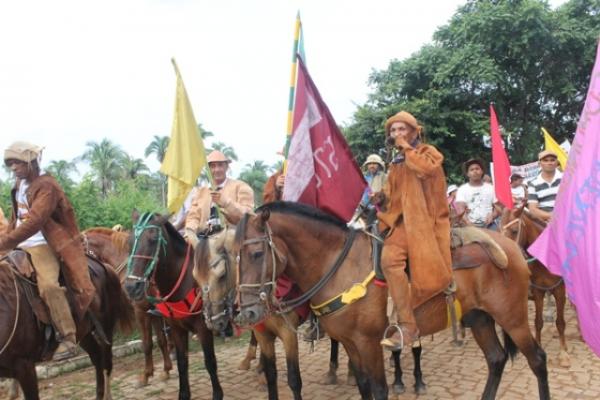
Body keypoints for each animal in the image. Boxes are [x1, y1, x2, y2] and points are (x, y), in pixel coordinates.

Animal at [0, 250, 134, 396]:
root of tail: (102, 265)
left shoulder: (25, 367)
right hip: (84, 334)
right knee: (97, 357)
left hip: (106, 327)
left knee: (107, 364)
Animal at [82, 228, 173, 388]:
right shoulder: (152, 311)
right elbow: (161, 340)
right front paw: (166, 370)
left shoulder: (141, 311)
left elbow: (147, 343)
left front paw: (146, 375)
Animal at [124, 211, 223, 400]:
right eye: (130, 242)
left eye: (154, 239)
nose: (132, 287)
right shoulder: (176, 328)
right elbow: (182, 362)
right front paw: (183, 393)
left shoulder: (203, 327)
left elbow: (210, 361)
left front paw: (217, 393)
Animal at [233, 203, 548, 400]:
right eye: (232, 255)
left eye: (257, 254)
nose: (247, 314)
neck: (340, 266)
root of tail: (511, 247)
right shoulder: (349, 342)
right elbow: (363, 387)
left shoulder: (369, 342)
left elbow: (379, 389)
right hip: (479, 317)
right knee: (496, 359)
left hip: (512, 317)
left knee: (537, 359)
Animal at [500, 205, 568, 368]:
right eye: (499, 228)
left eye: (514, 231)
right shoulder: (538, 291)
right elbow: (538, 322)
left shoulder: (559, 290)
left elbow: (560, 322)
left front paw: (563, 353)